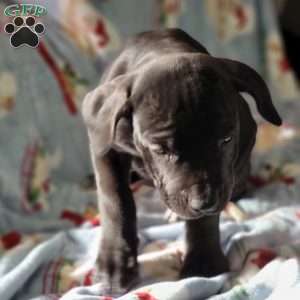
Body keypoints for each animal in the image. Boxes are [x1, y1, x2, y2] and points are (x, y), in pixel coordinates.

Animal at [81, 28, 282, 292]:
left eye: (226, 139)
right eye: (160, 149)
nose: (203, 201)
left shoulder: (227, 167)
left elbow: (206, 217)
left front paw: (202, 262)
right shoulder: (105, 147)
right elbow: (114, 199)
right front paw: (114, 263)